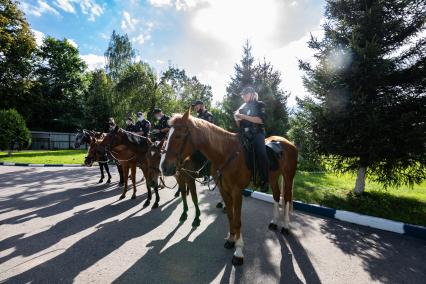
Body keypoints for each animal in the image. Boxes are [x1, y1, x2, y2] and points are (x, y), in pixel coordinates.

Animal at [159, 110, 296, 266]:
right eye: (167, 136)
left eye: (178, 136)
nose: (163, 167)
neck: (225, 154)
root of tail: (287, 142)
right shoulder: (223, 190)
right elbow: (230, 216)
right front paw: (231, 239)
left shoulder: (236, 192)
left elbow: (237, 220)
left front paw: (239, 251)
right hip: (273, 177)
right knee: (276, 196)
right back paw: (274, 222)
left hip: (288, 176)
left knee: (287, 198)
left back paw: (285, 226)